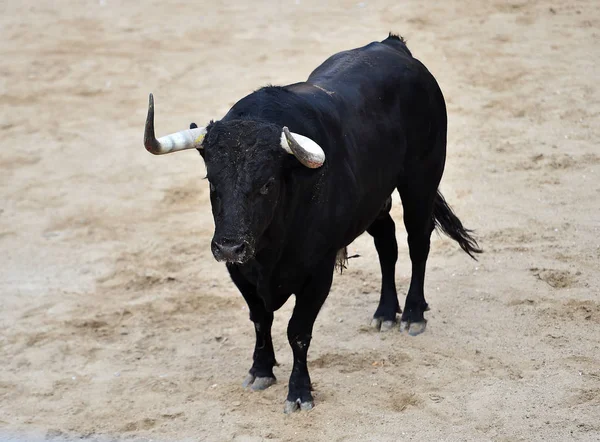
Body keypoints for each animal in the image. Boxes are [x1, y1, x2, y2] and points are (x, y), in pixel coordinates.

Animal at [143, 34, 480, 414]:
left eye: (267, 184)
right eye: (212, 183)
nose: (229, 246)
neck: (268, 251)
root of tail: (393, 45)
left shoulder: (317, 273)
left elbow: (298, 331)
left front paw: (299, 391)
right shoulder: (240, 271)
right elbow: (260, 319)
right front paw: (260, 371)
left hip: (421, 179)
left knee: (417, 241)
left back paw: (412, 314)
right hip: (372, 200)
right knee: (387, 243)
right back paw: (384, 312)